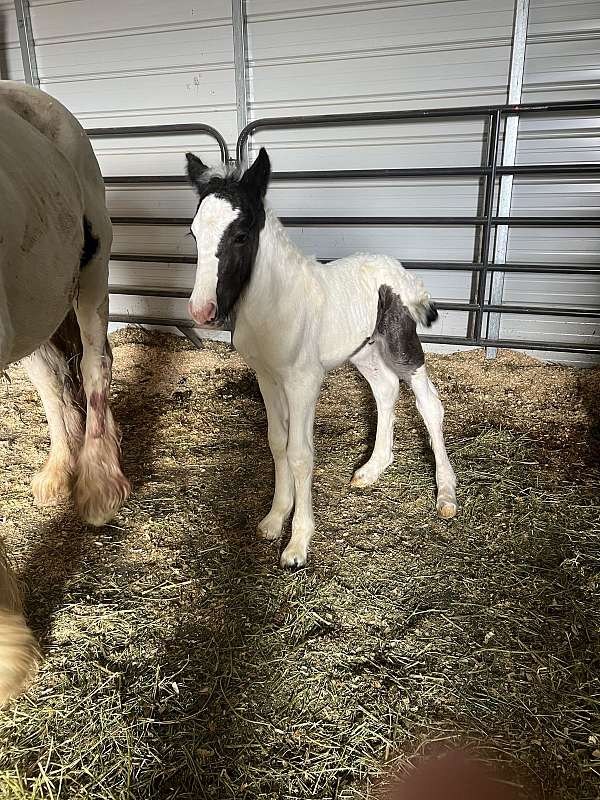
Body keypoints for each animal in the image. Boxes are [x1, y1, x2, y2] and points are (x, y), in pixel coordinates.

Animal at [185, 147, 458, 564]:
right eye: (194, 232)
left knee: (429, 402)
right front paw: (274, 518)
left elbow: (300, 453)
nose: (202, 312)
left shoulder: (303, 382)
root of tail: (401, 272)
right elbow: (276, 442)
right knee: (385, 390)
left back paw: (445, 494)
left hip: (400, 345)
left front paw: (298, 542)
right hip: (364, 350)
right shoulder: (267, 377)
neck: (275, 301)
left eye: (241, 234)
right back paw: (373, 469)